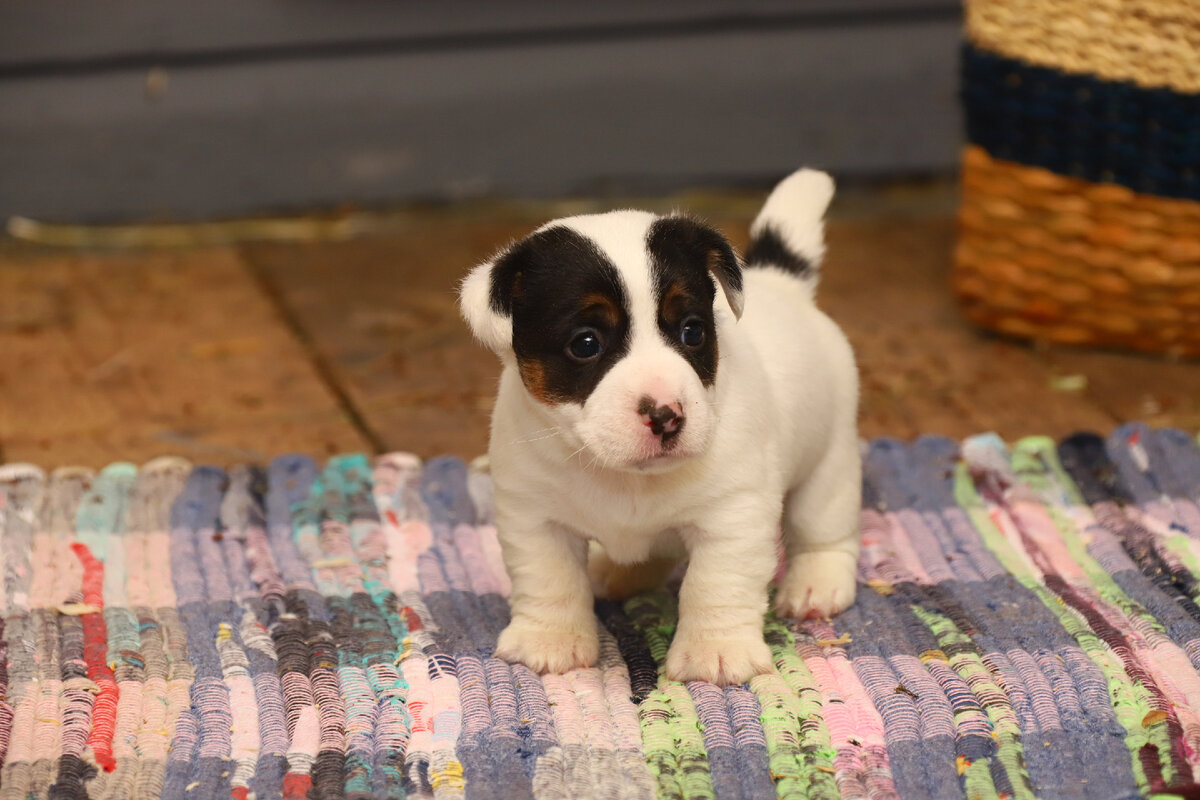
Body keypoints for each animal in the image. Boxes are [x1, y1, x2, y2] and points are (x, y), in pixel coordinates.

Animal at [458, 169, 864, 681]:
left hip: (829, 467)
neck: (625, 477)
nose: (667, 415)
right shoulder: (534, 518)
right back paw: (615, 571)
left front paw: (716, 649)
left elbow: (715, 585)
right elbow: (550, 579)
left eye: (692, 330)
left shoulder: (733, 518)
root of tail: (782, 283)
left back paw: (816, 583)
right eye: (585, 343)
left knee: (824, 531)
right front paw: (550, 638)